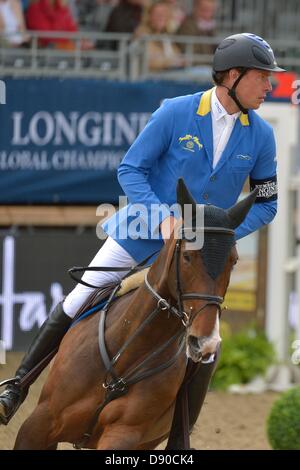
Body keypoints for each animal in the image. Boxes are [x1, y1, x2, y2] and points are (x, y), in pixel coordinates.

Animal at [14, 178, 256, 450]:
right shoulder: (39, 423)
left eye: (233, 261)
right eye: (187, 256)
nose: (204, 341)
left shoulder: (123, 434)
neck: (125, 352)